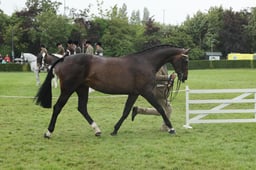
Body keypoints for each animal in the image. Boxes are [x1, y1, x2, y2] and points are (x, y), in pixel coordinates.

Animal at [35, 44, 189, 138]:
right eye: (186, 61)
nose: (184, 77)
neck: (145, 62)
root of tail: (64, 59)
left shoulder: (134, 93)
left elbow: (126, 111)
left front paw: (115, 130)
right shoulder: (146, 92)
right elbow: (160, 109)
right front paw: (171, 128)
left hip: (82, 88)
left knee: (82, 108)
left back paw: (97, 130)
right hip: (68, 89)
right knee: (58, 107)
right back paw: (48, 132)